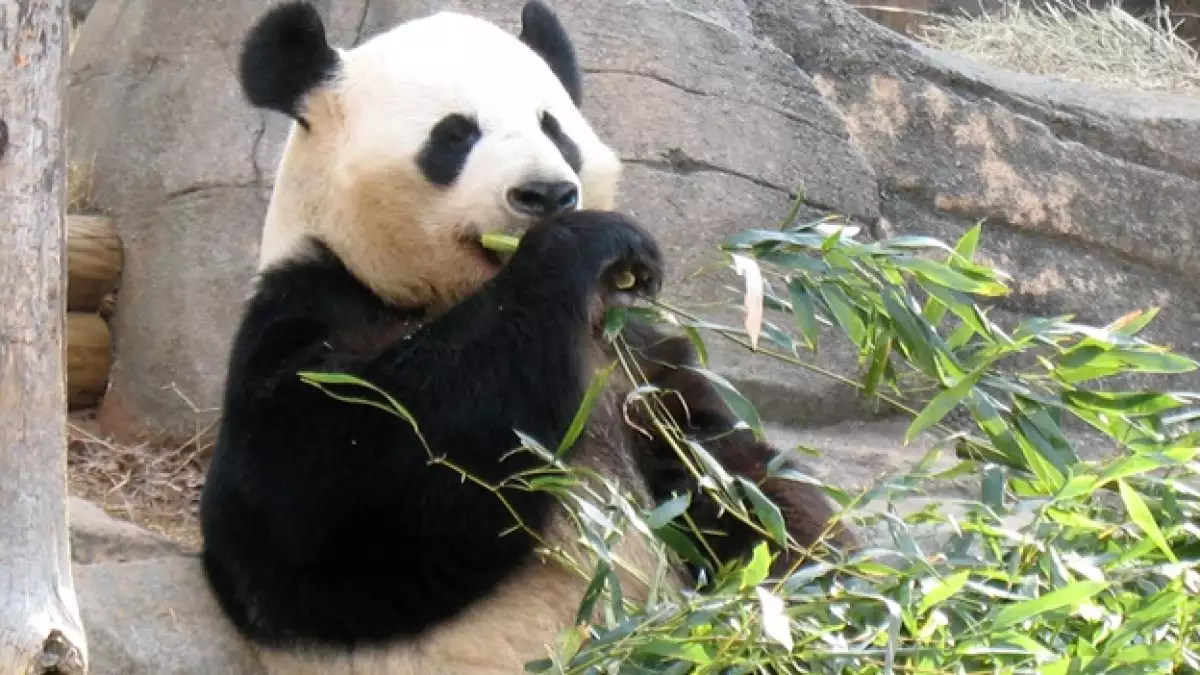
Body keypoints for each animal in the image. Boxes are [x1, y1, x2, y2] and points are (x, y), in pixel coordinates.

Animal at [198, 2, 857, 673]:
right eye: (455, 135)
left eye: (554, 128)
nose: (547, 193)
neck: (450, 293)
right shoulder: (309, 306)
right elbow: (326, 489)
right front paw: (587, 240)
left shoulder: (626, 355)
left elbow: (735, 478)